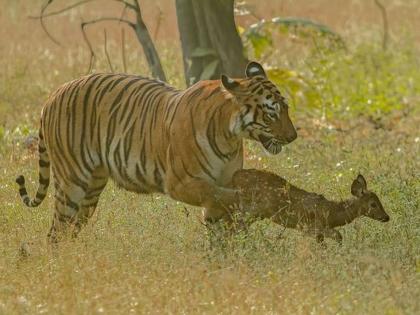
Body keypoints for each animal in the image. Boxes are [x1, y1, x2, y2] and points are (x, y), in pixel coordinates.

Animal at [15, 61, 296, 242]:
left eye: (286, 108)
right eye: (272, 113)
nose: (293, 137)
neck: (230, 136)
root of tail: (53, 95)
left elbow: (219, 223)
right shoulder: (181, 183)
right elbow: (219, 195)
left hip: (91, 189)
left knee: (70, 230)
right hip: (72, 182)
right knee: (56, 232)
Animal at [231, 170, 388, 244]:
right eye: (373, 204)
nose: (387, 217)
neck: (332, 213)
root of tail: (235, 176)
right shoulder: (310, 227)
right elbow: (338, 235)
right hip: (252, 209)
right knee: (238, 224)